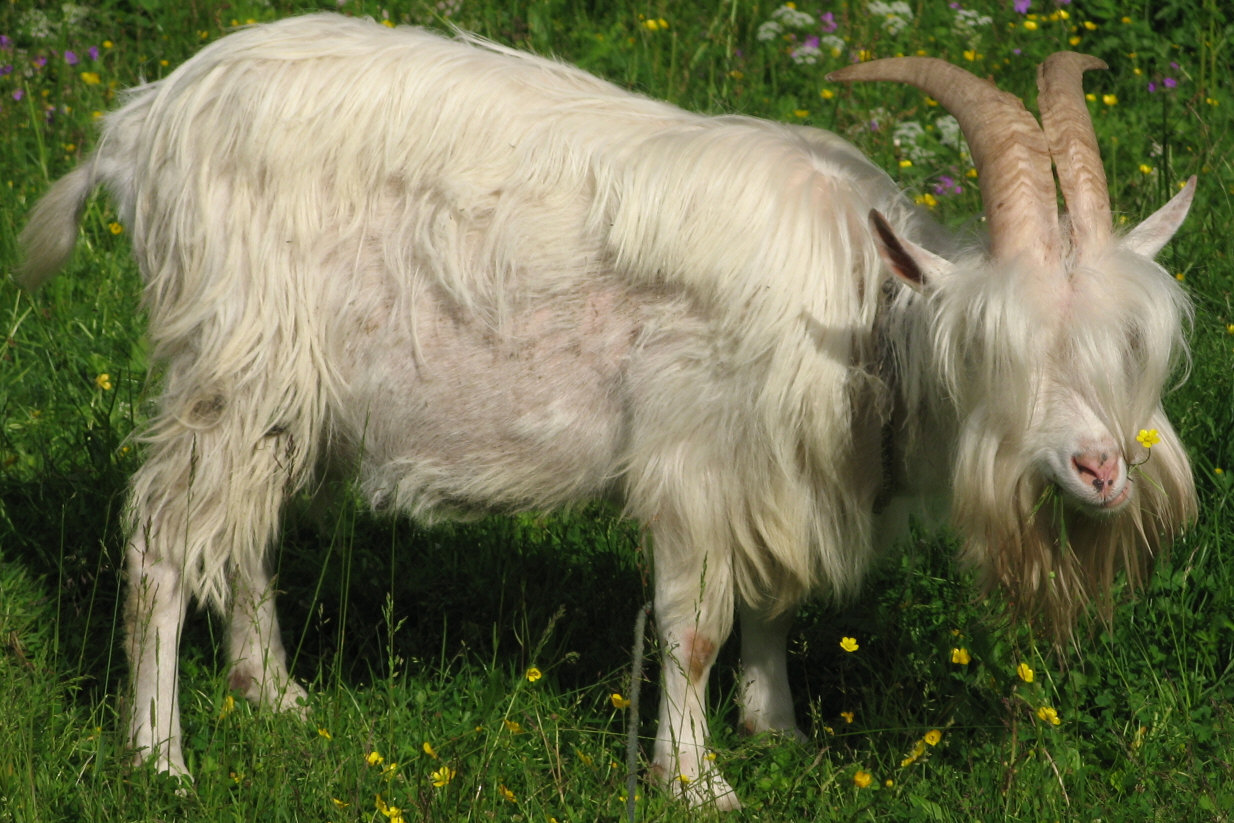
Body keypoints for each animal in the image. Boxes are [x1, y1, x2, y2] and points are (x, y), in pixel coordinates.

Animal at [16, 16, 1194, 809]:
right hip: (232, 361)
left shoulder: (779, 473)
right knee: (165, 545)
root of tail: (143, 120)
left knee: (244, 538)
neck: (863, 309)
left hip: (280, 395)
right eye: (991, 346)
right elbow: (694, 624)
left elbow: (772, 605)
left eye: (1132, 348)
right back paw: (160, 756)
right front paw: (697, 780)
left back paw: (276, 697)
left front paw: (779, 731)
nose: (1101, 471)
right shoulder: (695, 456)